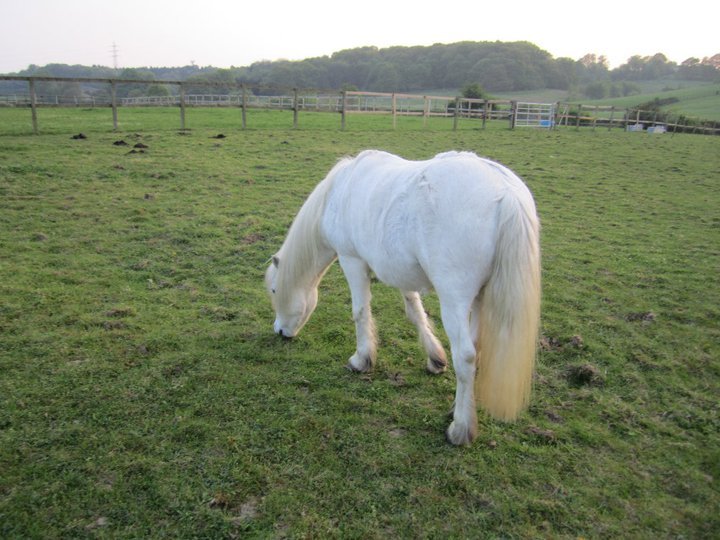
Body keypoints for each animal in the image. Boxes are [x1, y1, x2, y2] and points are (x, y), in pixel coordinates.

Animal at [265, 150, 540, 445]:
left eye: (274, 291)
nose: (280, 331)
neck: (337, 192)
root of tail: (506, 191)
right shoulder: (401, 272)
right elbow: (415, 312)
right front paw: (435, 359)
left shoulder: (352, 260)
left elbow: (360, 312)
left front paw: (361, 360)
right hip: (480, 297)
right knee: (476, 348)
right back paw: (458, 408)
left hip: (454, 301)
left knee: (466, 356)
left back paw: (461, 428)